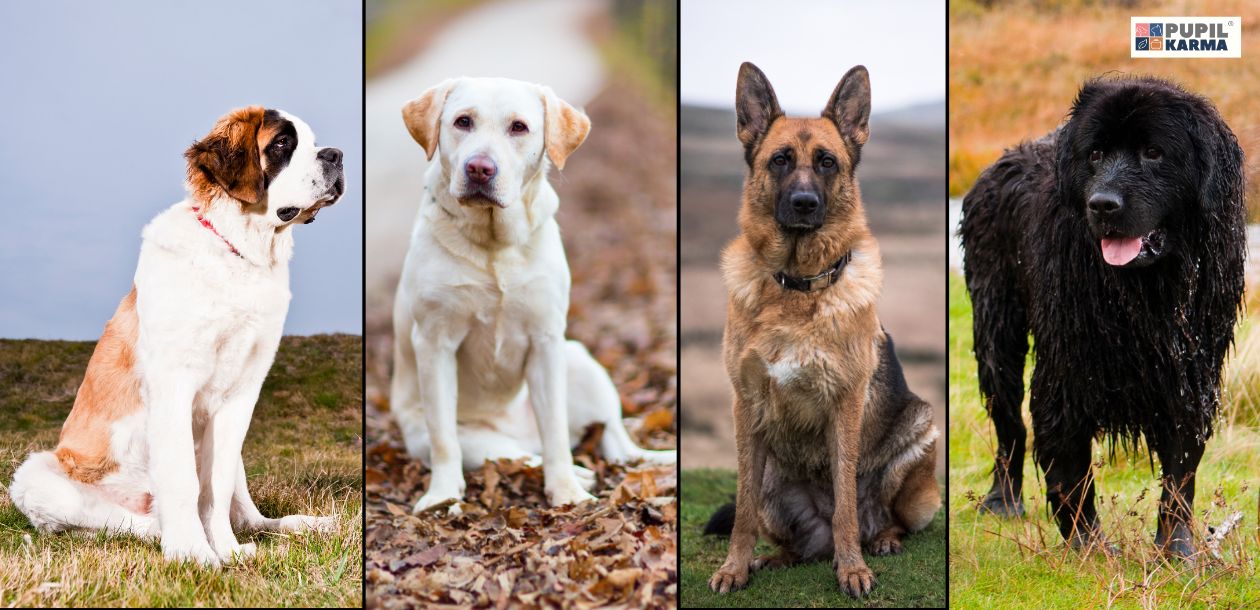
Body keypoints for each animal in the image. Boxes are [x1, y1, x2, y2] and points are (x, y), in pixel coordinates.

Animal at [7, 105, 345, 567]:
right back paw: (159, 531)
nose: (337, 155)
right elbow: (184, 479)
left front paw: (226, 550)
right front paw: (192, 552)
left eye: (312, 142)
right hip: (36, 476)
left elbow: (215, 487)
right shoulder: (173, 385)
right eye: (281, 144)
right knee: (119, 523)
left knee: (250, 516)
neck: (239, 256)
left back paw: (296, 527)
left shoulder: (240, 395)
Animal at [393, 76, 680, 514]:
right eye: (462, 121)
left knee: (614, 442)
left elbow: (556, 432)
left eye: (519, 127)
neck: (494, 242)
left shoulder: (546, 341)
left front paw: (565, 492)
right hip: (470, 440)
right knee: (514, 454)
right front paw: (441, 496)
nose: (480, 168)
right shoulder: (434, 343)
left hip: (580, 362)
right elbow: (445, 440)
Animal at [705, 64, 942, 597]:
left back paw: (881, 540)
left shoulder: (846, 402)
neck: (798, 286)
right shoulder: (744, 406)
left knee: (877, 517)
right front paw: (734, 566)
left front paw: (853, 569)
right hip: (772, 480)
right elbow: (742, 509)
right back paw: (775, 558)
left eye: (827, 162)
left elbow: (847, 502)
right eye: (780, 160)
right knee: (800, 541)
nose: (804, 203)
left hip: (920, 433)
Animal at [957, 74, 1244, 557]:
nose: (1103, 204)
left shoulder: (1191, 374)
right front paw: (1089, 547)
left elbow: (1180, 471)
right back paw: (1004, 500)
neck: (1143, 295)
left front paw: (1176, 551)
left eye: (1154, 152)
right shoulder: (1065, 373)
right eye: (1094, 154)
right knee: (1008, 423)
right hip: (995, 322)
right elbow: (1071, 471)